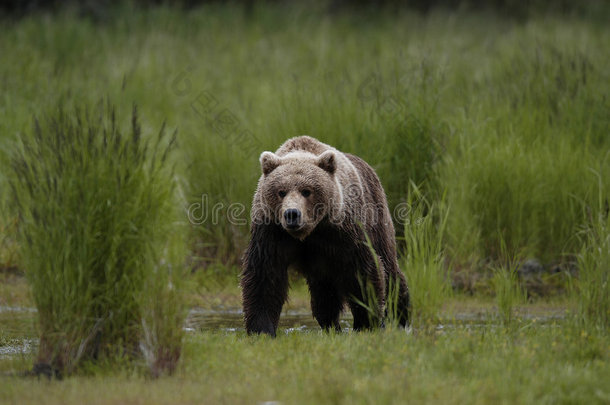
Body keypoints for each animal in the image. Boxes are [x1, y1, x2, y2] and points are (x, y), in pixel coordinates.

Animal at [239, 135, 408, 334]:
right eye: (281, 192)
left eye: (306, 191)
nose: (292, 214)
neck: (309, 232)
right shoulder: (272, 232)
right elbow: (264, 275)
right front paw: (262, 329)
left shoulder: (343, 231)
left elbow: (363, 271)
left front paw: (366, 322)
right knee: (324, 292)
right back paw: (331, 325)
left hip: (377, 216)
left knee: (389, 268)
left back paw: (402, 317)